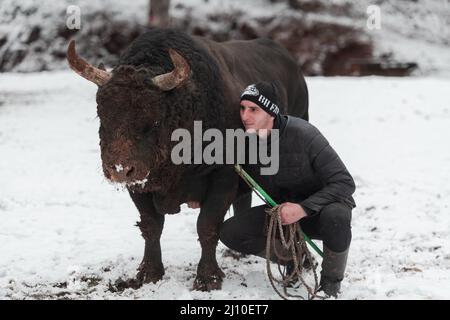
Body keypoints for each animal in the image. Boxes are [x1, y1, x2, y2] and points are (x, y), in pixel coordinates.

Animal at [67, 28, 310, 292]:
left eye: (154, 119)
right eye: (101, 114)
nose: (120, 169)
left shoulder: (222, 177)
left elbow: (207, 226)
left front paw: (207, 278)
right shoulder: (140, 183)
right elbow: (151, 226)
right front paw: (149, 272)